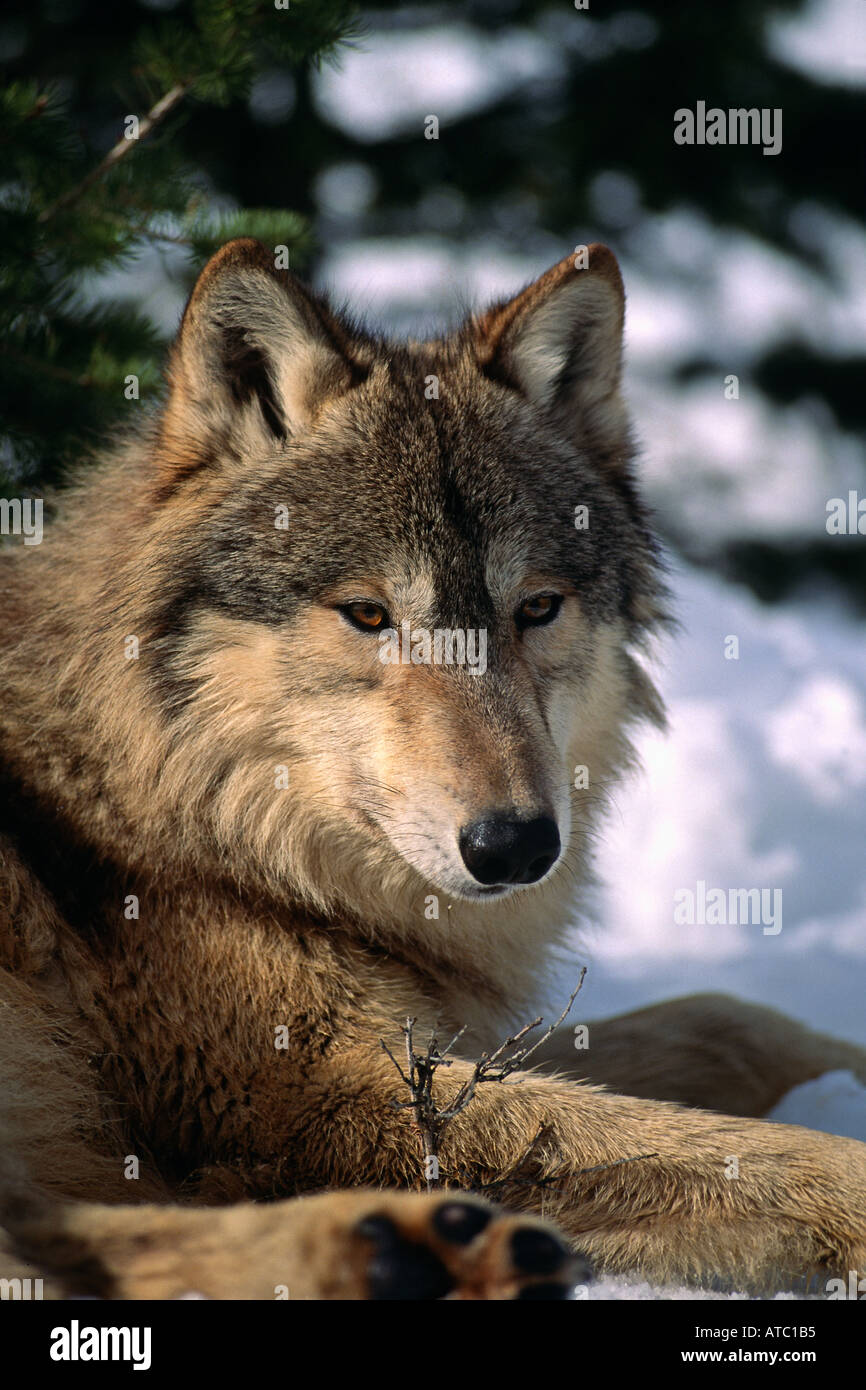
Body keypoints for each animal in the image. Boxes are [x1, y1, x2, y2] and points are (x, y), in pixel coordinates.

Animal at [1, 236, 866, 1289]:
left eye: (536, 608)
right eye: (368, 614)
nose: (515, 845)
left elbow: (725, 1017)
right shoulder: (301, 1090)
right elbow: (762, 1151)